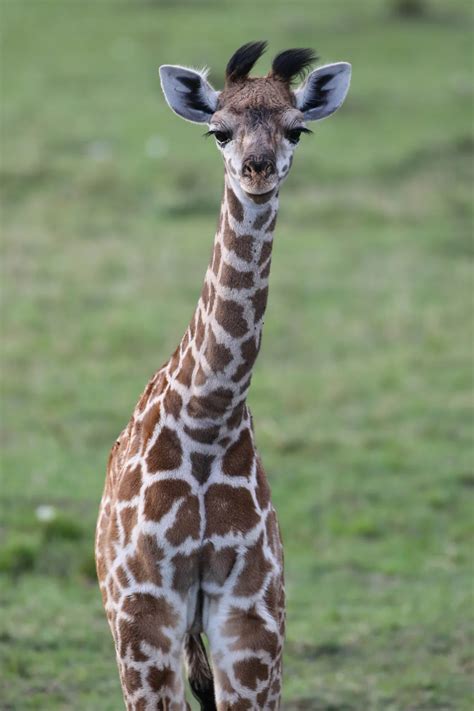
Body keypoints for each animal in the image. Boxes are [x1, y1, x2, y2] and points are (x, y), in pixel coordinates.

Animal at [96, 43, 350, 711]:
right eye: (219, 131)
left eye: (297, 128)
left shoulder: (253, 619)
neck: (209, 420)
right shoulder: (143, 615)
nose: (257, 170)